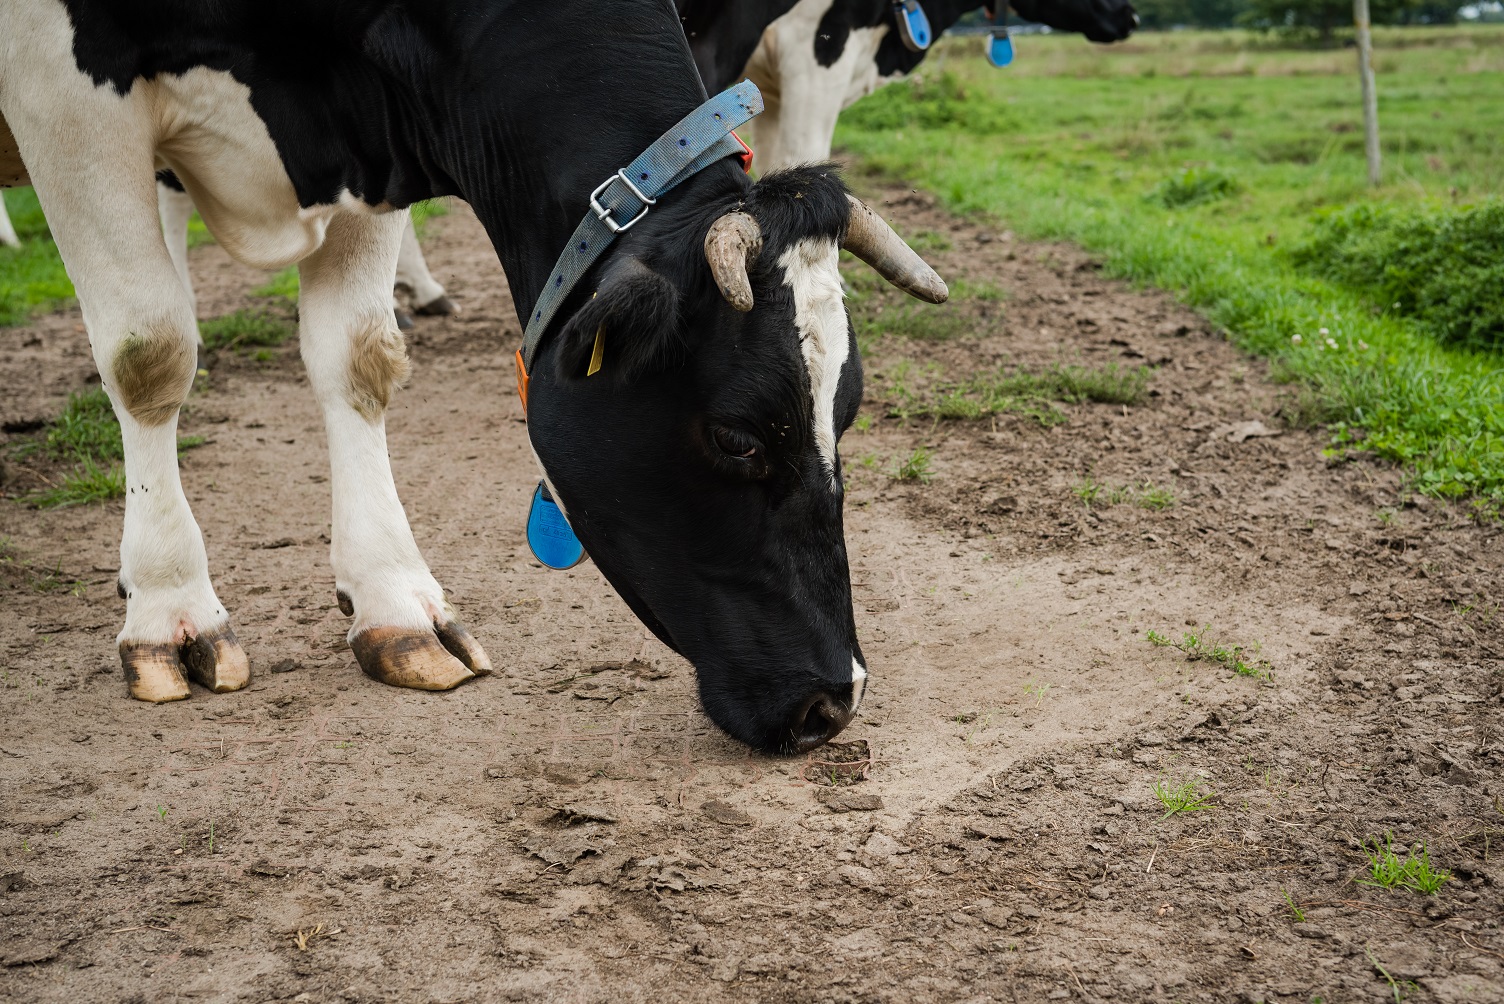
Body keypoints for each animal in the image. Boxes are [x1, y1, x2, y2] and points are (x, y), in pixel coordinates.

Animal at [0, 0, 947, 754]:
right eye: (737, 436)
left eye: (848, 415)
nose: (835, 700)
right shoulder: (66, 96)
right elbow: (150, 352)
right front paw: (169, 607)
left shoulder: (370, 142)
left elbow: (357, 353)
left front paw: (394, 604)